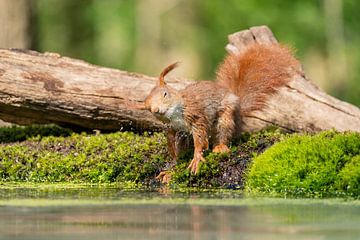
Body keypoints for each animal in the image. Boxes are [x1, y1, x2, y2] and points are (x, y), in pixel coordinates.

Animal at [143, 43, 300, 177]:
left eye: (165, 94)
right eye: (148, 107)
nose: (157, 110)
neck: (176, 113)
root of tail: (238, 108)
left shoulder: (195, 115)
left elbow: (199, 137)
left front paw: (196, 158)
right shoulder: (171, 128)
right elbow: (173, 148)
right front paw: (171, 169)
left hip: (226, 117)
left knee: (223, 133)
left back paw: (220, 147)